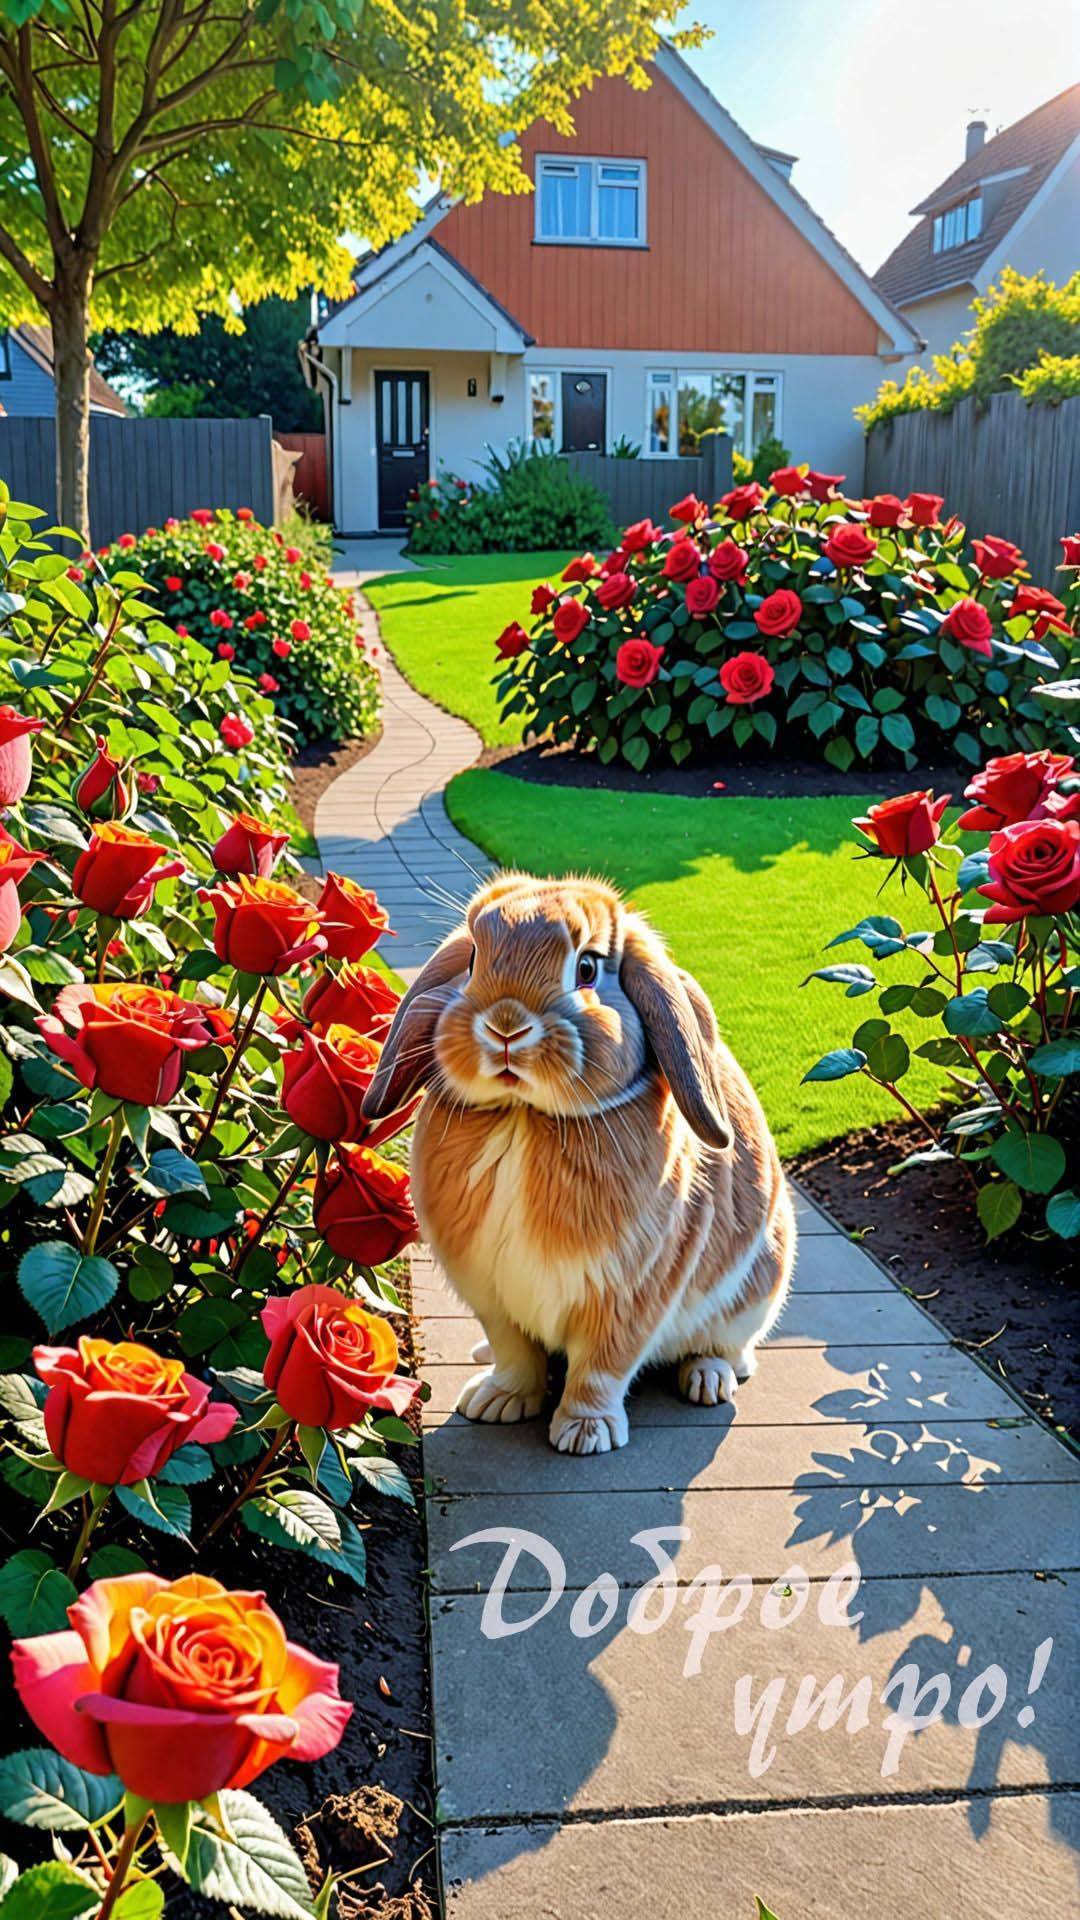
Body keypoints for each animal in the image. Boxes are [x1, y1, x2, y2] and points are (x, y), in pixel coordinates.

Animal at [362, 871, 795, 1454]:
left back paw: (708, 1380)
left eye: (587, 968)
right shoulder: (493, 1296)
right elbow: (514, 1353)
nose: (505, 1024)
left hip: (755, 1295)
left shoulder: (629, 1296)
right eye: (472, 958)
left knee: (730, 1350)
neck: (523, 1120)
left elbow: (602, 1365)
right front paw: (497, 1403)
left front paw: (585, 1433)